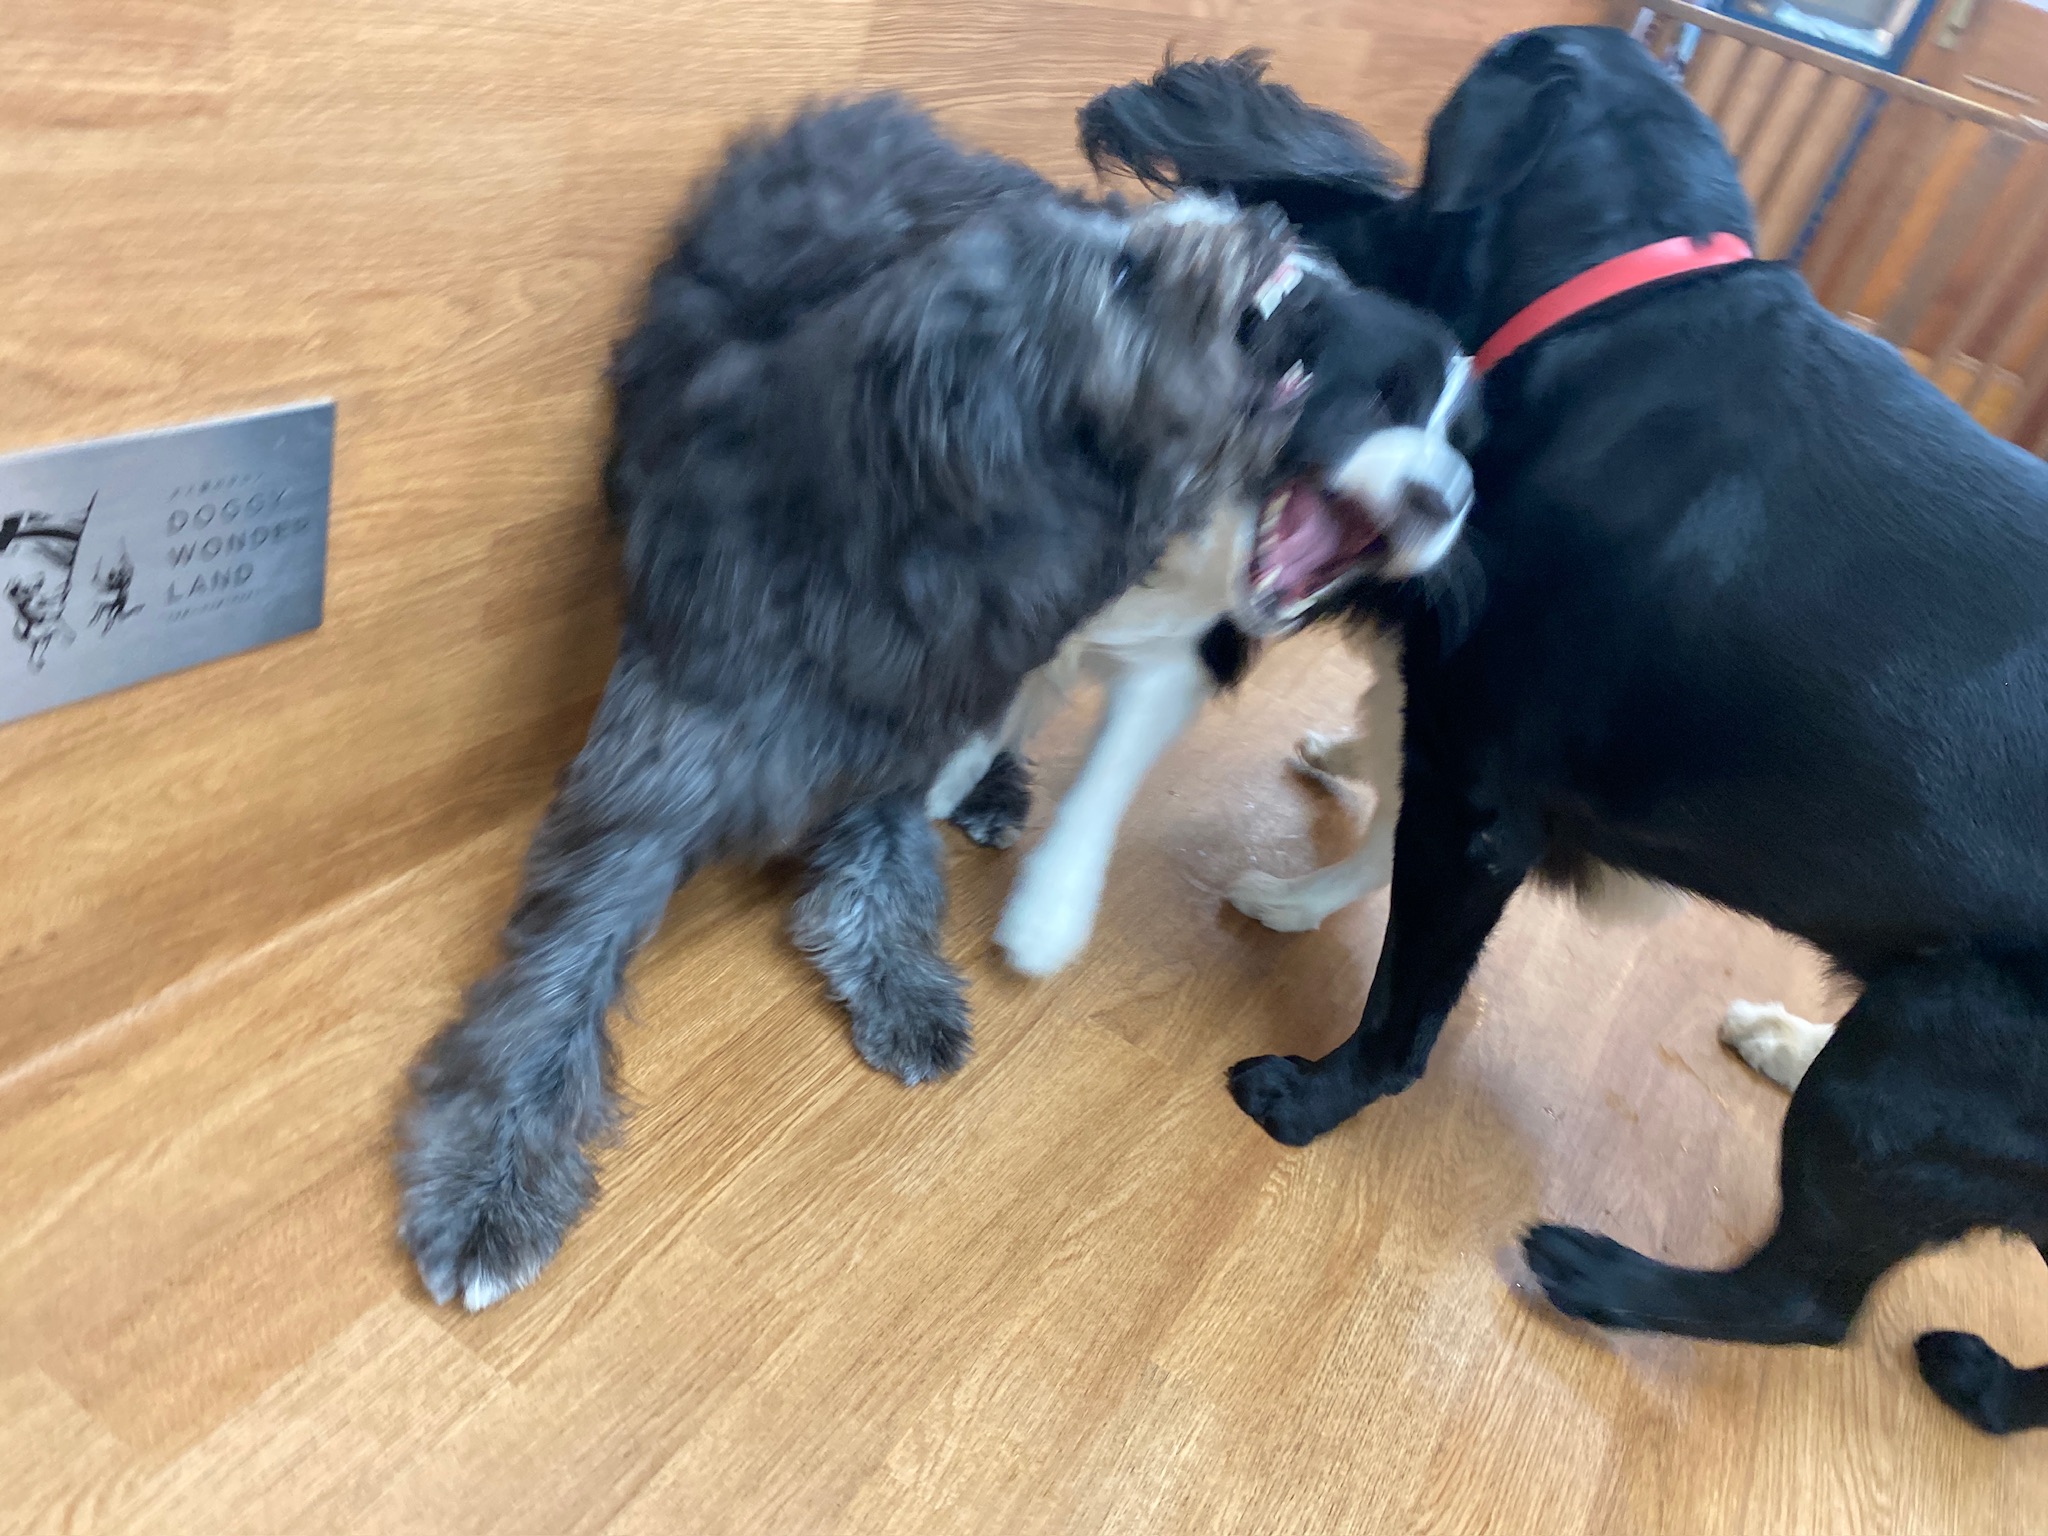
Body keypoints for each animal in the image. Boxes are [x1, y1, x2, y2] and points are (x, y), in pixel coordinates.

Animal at [395, 94, 1407, 1311]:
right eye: (1123, 275)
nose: (1266, 224)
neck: (903, 528)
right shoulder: (655, 775)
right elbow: (559, 967)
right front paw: (488, 1178)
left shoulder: (904, 729)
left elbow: (888, 868)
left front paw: (898, 974)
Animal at [927, 234, 1478, 978]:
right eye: (1379, 398)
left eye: (1466, 446)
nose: (1447, 499)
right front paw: (951, 775)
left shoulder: (1186, 655)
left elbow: (1106, 774)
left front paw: (1049, 912)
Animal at [1080, 37, 2048, 1434]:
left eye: (1397, 178)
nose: (1163, 106)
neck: (1632, 301)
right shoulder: (1457, 737)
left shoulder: (1484, 789)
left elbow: (1404, 1002)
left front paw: (1310, 1096)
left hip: (1901, 1070)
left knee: (1806, 1304)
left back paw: (1599, 1271)